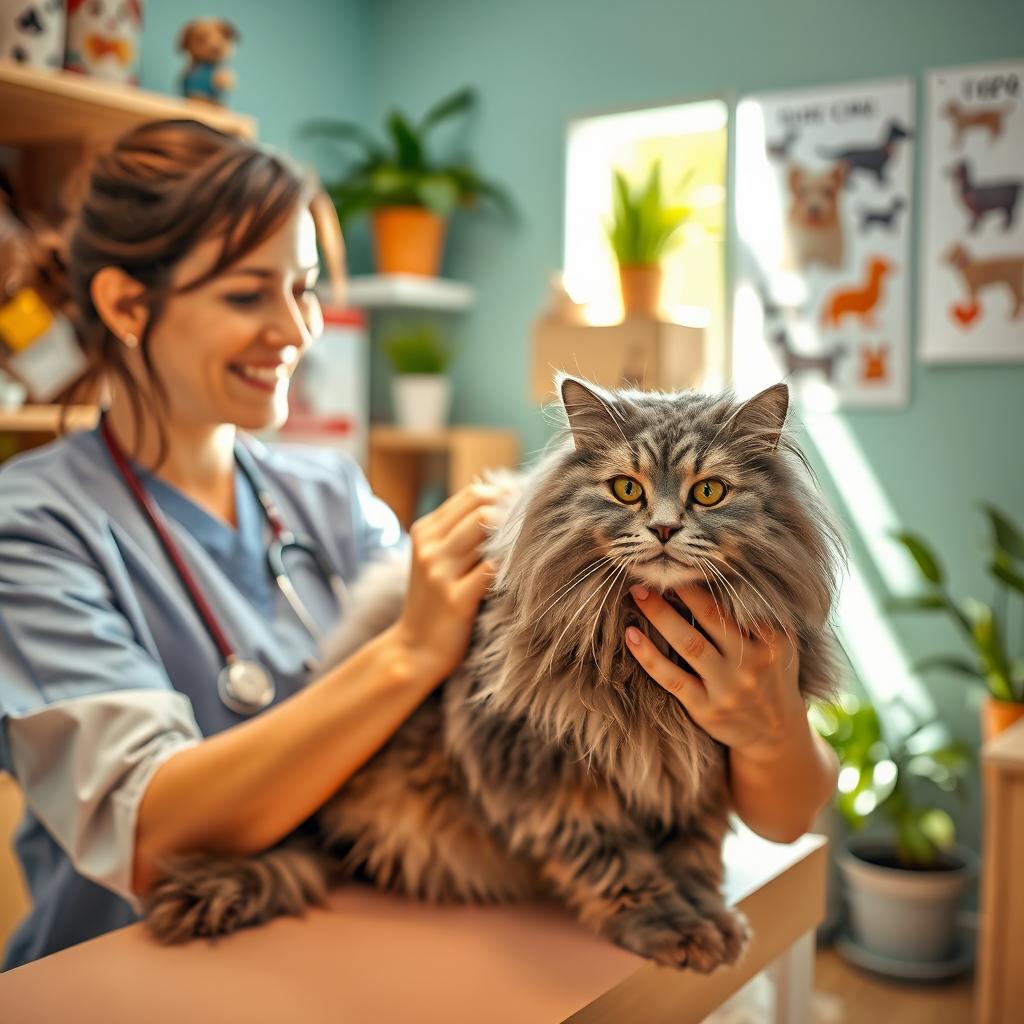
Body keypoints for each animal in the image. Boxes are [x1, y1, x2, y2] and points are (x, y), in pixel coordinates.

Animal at [146, 378, 847, 974]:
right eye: (627, 490)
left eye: (709, 492)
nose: (665, 528)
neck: (642, 655)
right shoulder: (543, 768)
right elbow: (612, 862)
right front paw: (670, 927)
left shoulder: (703, 765)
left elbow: (694, 856)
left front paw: (710, 918)